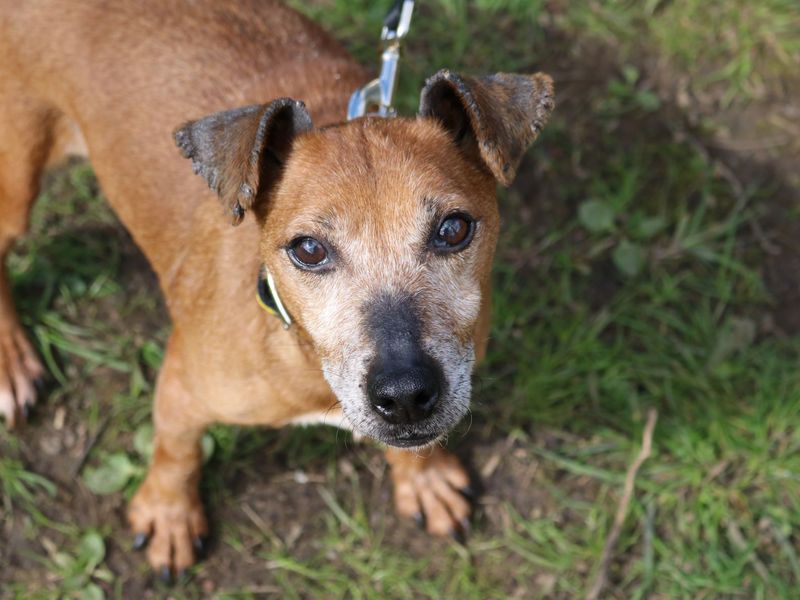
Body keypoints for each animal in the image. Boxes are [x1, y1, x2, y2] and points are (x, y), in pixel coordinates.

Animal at [0, 0, 552, 580]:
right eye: (308, 249)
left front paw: (423, 477)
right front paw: (169, 513)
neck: (300, 352)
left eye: (454, 229)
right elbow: (176, 452)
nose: (404, 395)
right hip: (17, 177)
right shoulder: (181, 387)